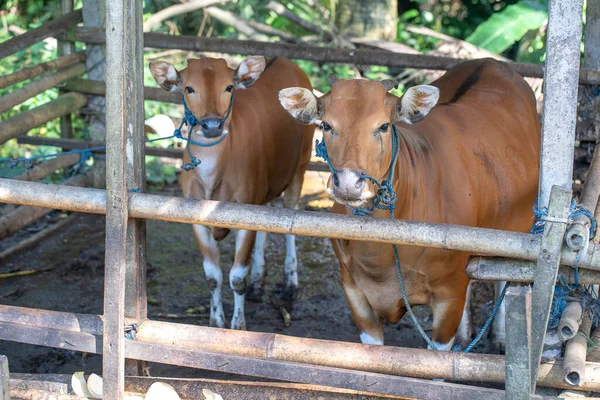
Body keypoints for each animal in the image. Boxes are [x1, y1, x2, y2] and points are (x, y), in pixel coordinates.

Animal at [150, 57, 314, 332]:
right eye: (189, 88)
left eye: (228, 87)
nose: (212, 126)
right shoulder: (196, 220)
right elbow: (212, 276)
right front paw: (216, 321)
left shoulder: (244, 217)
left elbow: (237, 277)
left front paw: (238, 326)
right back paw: (258, 281)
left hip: (299, 168)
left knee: (291, 219)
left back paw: (290, 283)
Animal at [278, 57, 540, 348]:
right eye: (326, 125)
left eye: (383, 126)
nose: (347, 183)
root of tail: (491, 62)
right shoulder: (355, 293)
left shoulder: (449, 298)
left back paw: (500, 334)